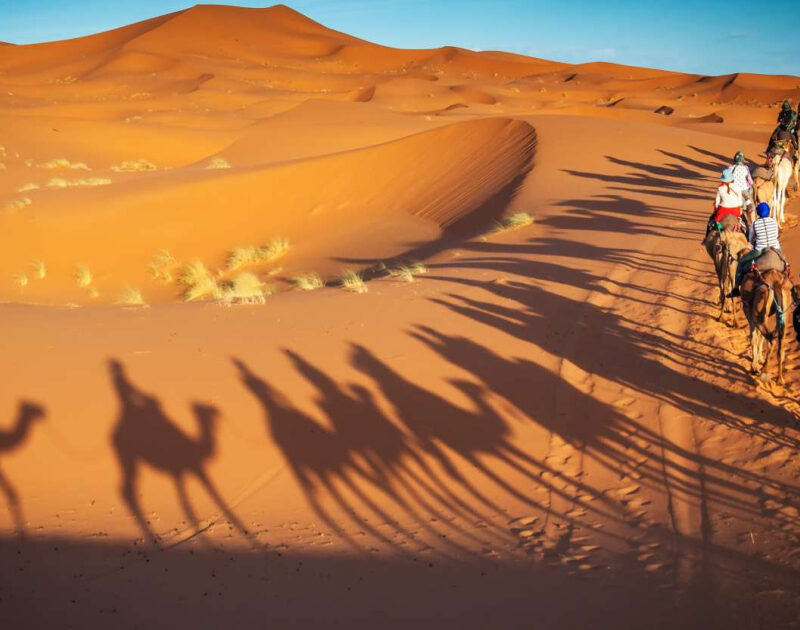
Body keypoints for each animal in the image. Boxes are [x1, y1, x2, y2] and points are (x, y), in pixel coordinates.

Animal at [107, 360, 250, 548]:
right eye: (208, 412)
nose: (218, 420)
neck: (198, 448)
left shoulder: (181, 473)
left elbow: (189, 505)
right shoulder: (191, 469)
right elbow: (198, 503)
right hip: (128, 456)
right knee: (127, 490)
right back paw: (154, 540)